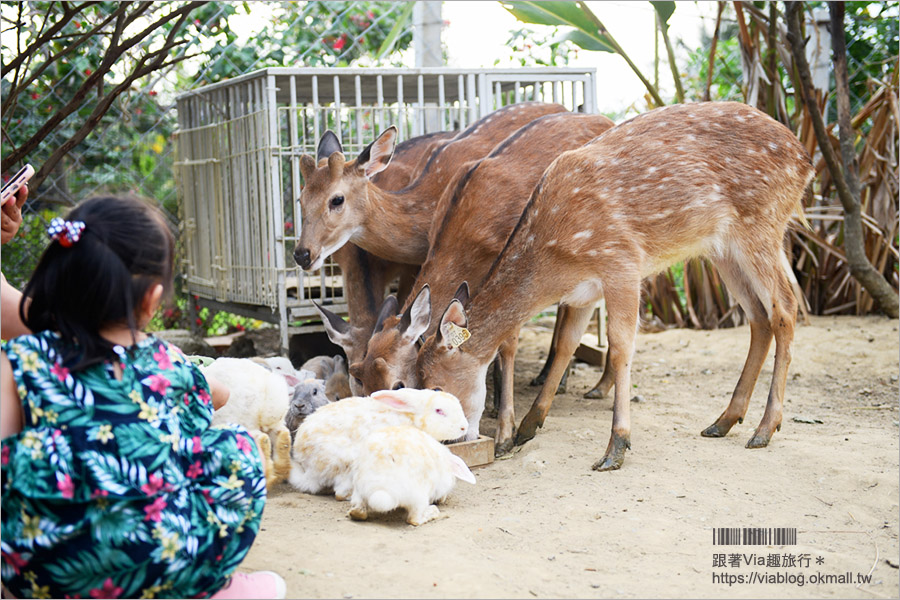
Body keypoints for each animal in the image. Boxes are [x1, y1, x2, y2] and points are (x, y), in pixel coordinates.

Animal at [414, 101, 816, 472]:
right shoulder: (583, 291)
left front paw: (616, 446)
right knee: (758, 316)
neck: (555, 258)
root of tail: (806, 160)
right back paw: (724, 420)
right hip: (722, 249)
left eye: (435, 386)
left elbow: (621, 346)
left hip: (762, 224)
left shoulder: (620, 261)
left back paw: (764, 428)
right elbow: (566, 344)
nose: (453, 442)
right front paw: (529, 425)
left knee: (785, 307)